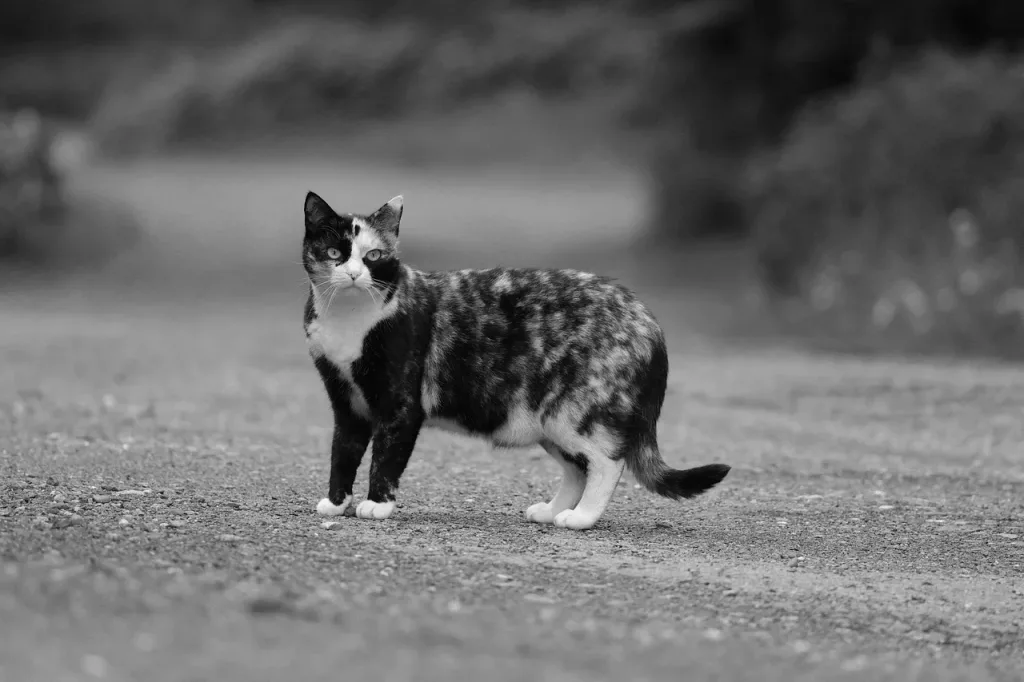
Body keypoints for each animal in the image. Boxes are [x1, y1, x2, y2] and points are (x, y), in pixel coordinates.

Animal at [299, 188, 733, 528]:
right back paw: (552, 511)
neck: (349, 319)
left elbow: (386, 457)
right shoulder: (346, 401)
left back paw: (581, 518)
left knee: (607, 461)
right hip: (546, 418)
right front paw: (336, 503)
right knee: (578, 467)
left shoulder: (400, 405)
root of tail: (646, 318)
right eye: (335, 251)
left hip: (574, 413)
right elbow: (343, 451)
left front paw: (377, 504)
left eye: (373, 255)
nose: (353, 274)